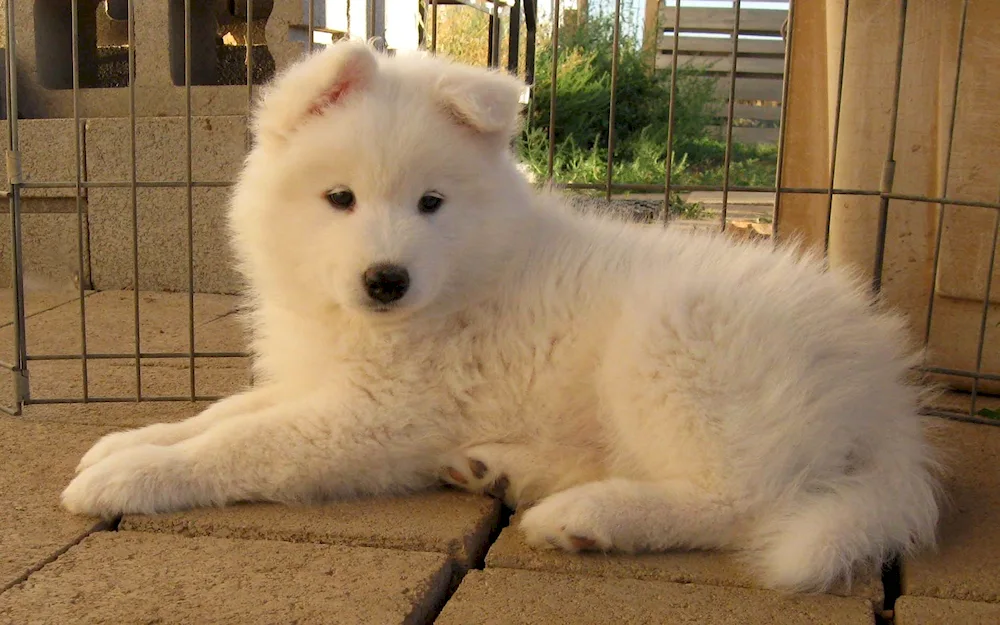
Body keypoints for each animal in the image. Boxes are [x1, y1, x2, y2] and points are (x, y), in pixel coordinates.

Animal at [60, 40, 936, 588]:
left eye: (431, 203)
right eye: (339, 198)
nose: (386, 279)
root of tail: (885, 390)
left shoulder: (374, 418)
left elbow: (244, 443)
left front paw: (132, 476)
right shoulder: (315, 378)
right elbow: (225, 411)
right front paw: (129, 439)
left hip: (674, 345)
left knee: (745, 499)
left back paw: (586, 515)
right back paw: (503, 469)